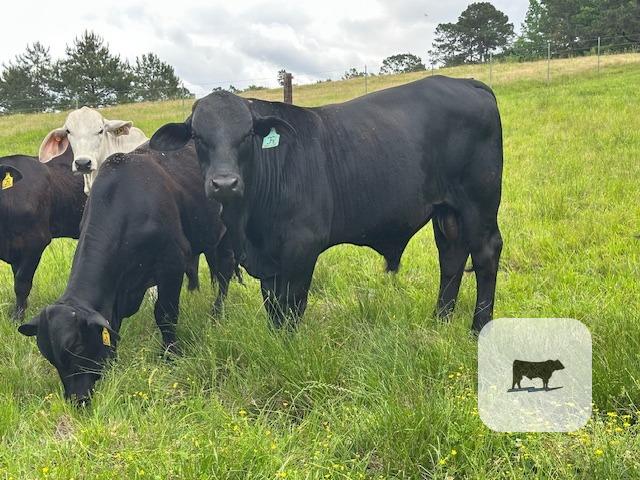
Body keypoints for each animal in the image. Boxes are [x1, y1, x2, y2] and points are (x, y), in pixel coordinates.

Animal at [18, 143, 236, 402]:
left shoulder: (171, 263)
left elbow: (165, 315)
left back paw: (217, 313)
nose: (77, 399)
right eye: (50, 357)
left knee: (224, 273)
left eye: (78, 348)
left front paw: (171, 355)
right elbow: (113, 326)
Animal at [149, 75, 504, 332]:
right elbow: (273, 308)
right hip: (447, 211)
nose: (224, 183)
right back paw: (439, 320)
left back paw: (478, 327)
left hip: (479, 204)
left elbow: (292, 307)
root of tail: (467, 83)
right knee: (452, 257)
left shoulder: (301, 247)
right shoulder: (267, 264)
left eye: (248, 134)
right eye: (197, 136)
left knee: (485, 253)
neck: (250, 225)